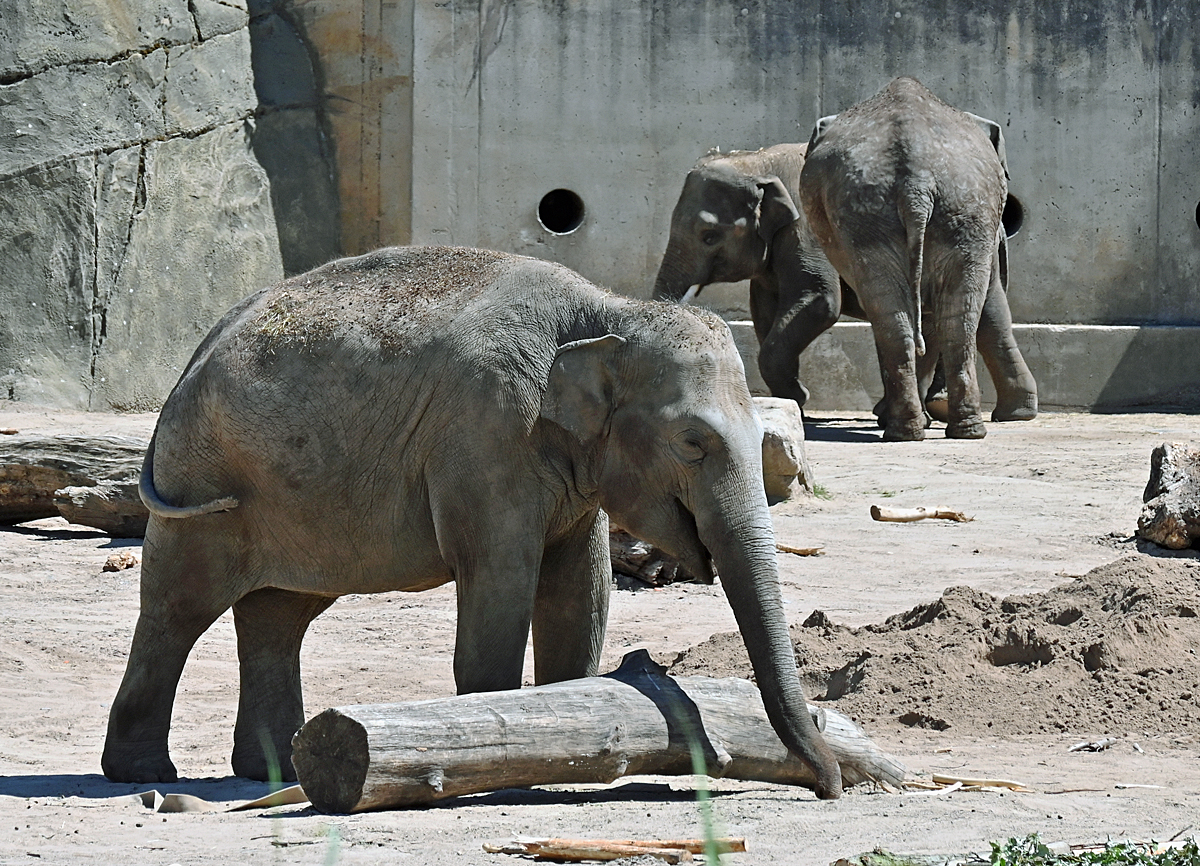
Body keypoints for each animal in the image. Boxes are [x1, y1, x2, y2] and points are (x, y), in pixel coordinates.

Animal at [100, 242, 844, 796]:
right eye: (693, 442)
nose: (831, 786)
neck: (603, 310)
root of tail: (191, 358)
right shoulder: (487, 434)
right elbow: (502, 576)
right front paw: (509, 751)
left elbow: (579, 586)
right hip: (205, 480)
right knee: (178, 606)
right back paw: (142, 772)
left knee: (278, 613)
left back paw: (271, 769)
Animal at [796, 75, 1041, 438]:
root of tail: (917, 182)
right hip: (916, 211)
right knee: (930, 314)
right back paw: (930, 429)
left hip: (943, 207)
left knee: (921, 313)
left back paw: (926, 429)